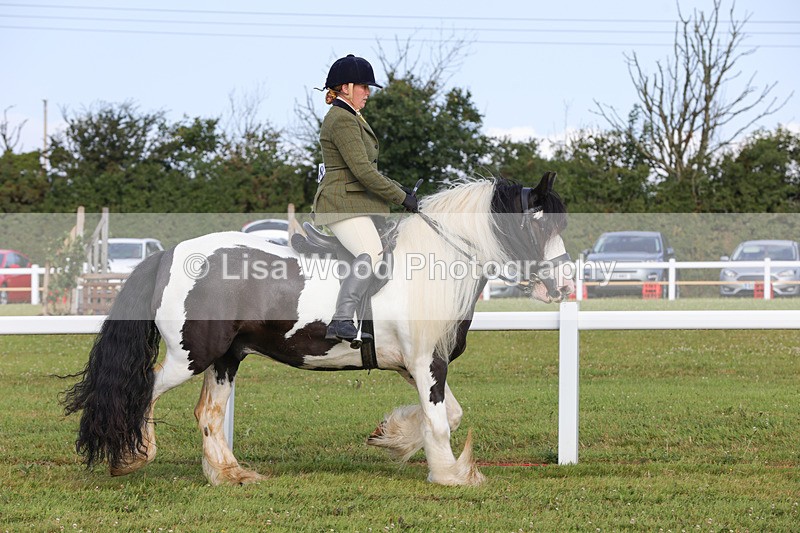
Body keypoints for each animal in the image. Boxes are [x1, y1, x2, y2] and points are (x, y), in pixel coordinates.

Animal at [62, 172, 574, 486]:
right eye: (537, 224)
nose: (566, 284)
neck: (434, 261)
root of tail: (168, 254)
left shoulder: (418, 363)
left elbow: (451, 413)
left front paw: (389, 436)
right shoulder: (426, 362)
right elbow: (439, 420)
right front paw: (449, 474)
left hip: (226, 357)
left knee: (208, 413)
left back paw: (231, 474)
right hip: (192, 355)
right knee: (143, 389)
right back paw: (134, 456)